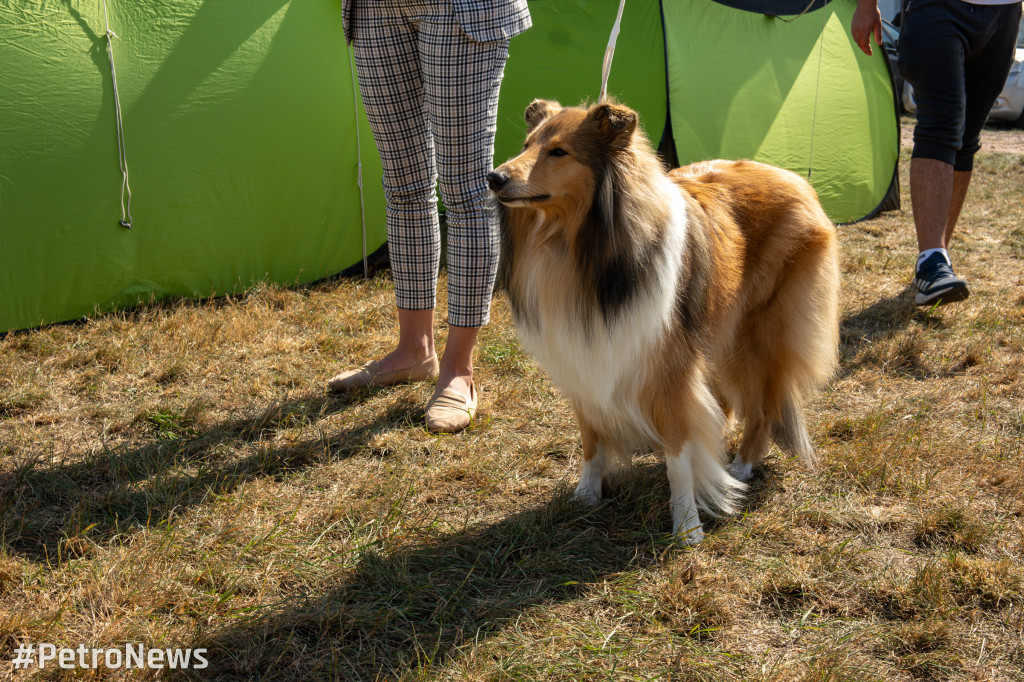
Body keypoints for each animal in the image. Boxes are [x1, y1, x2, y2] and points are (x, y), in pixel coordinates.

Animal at [487, 99, 839, 540]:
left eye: (559, 151)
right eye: (526, 144)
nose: (493, 177)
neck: (580, 251)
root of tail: (794, 178)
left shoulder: (669, 371)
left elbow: (678, 454)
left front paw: (687, 526)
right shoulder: (584, 359)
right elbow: (591, 439)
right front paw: (586, 497)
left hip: (754, 336)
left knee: (762, 409)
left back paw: (741, 466)